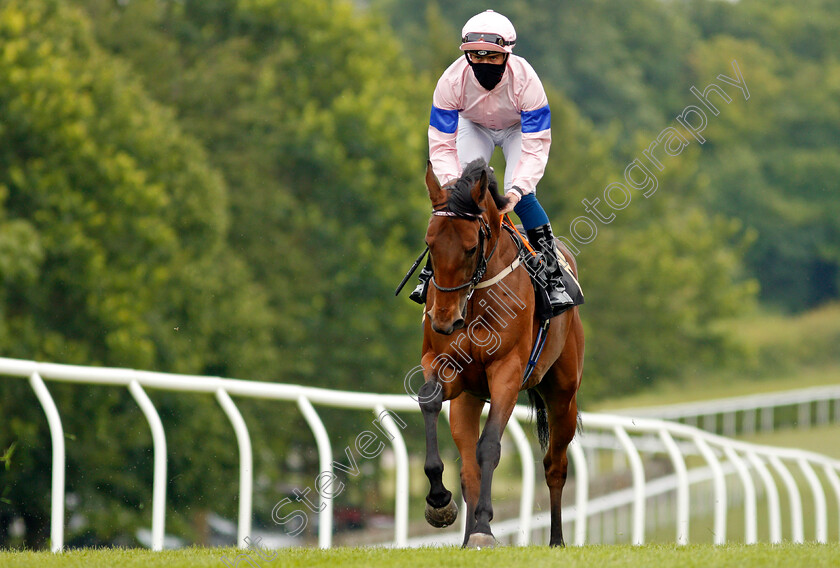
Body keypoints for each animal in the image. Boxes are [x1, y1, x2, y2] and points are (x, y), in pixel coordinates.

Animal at [418, 158, 584, 548]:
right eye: (430, 244)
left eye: (469, 247)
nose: (443, 321)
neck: (476, 298)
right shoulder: (444, 366)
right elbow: (429, 398)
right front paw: (438, 501)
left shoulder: (506, 372)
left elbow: (490, 446)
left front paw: (484, 526)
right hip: (468, 399)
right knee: (467, 470)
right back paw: (465, 536)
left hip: (563, 395)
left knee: (555, 466)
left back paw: (556, 539)